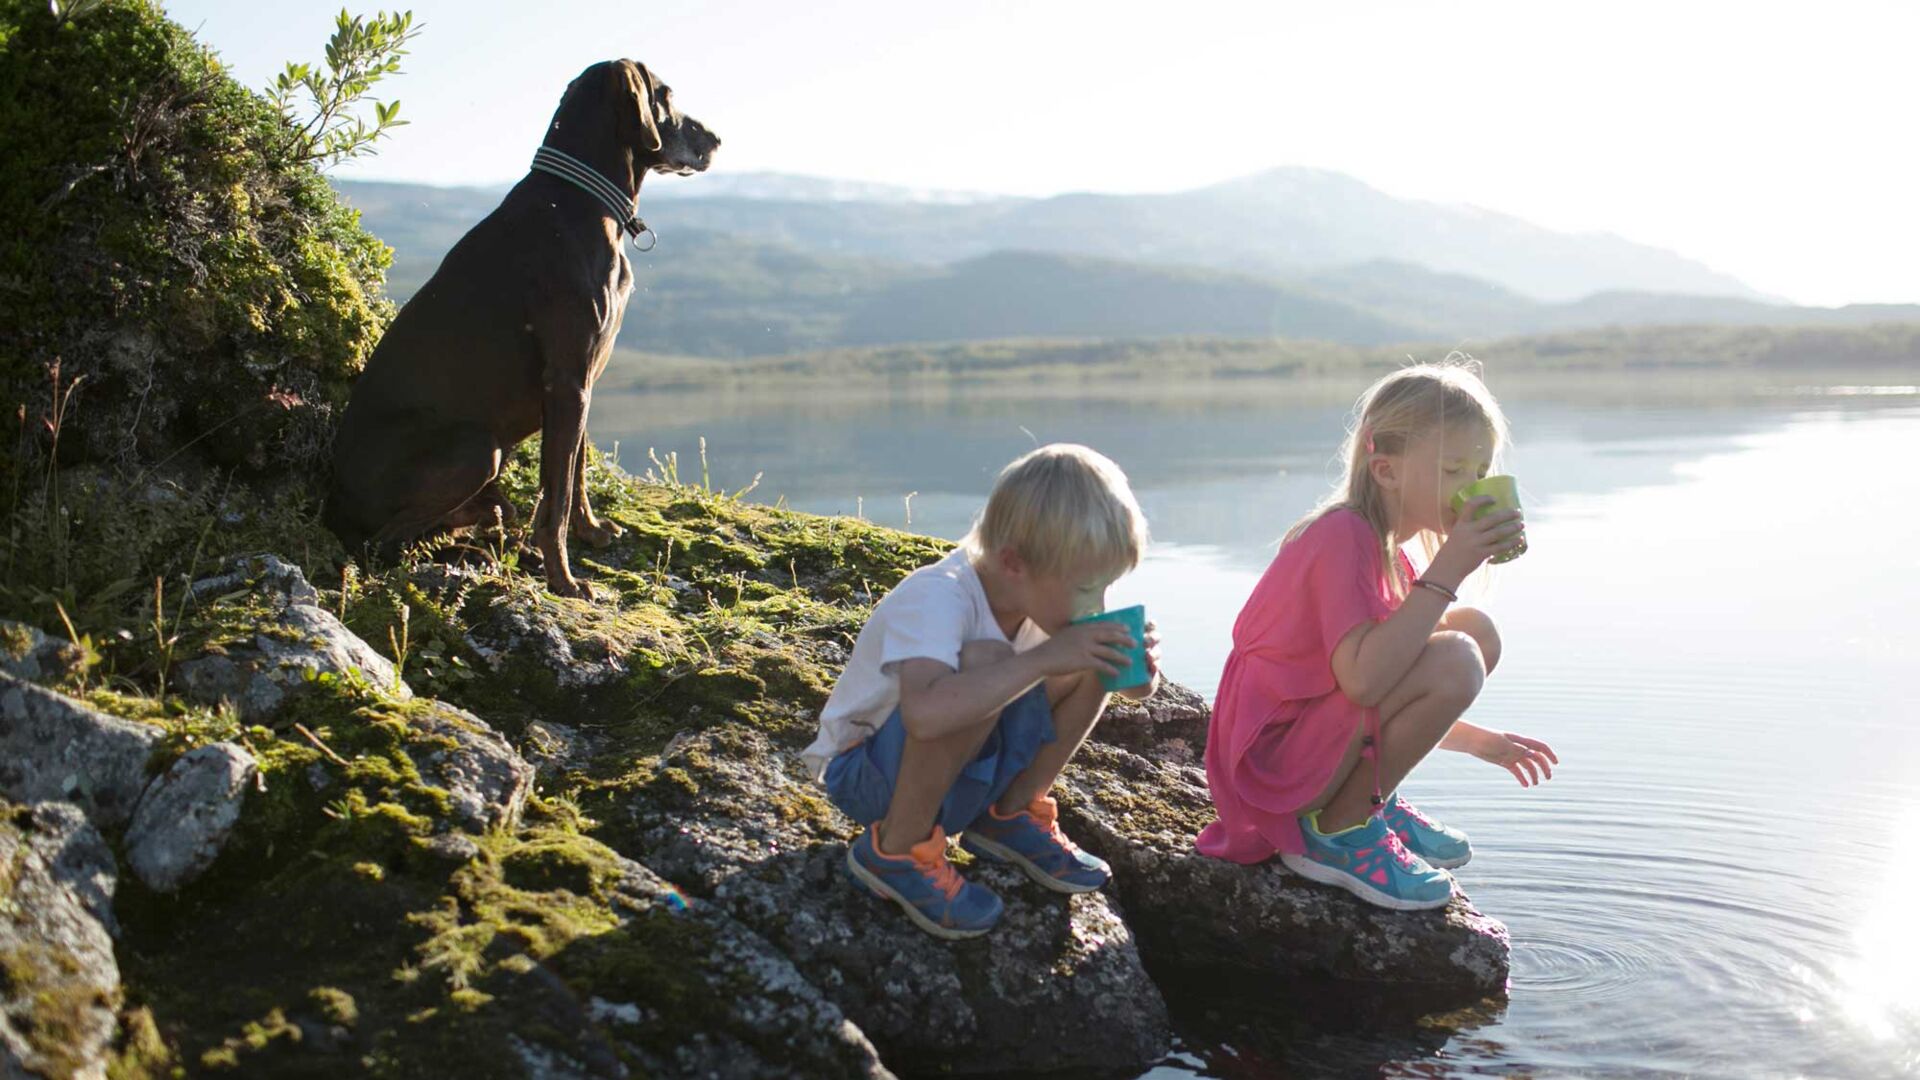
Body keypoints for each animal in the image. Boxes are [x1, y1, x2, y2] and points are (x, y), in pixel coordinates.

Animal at [330, 58, 721, 595]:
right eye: (665, 95)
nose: (717, 139)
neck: (581, 199)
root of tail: (331, 500)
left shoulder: (582, 380)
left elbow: (575, 471)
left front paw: (591, 532)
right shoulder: (568, 378)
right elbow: (556, 496)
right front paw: (565, 578)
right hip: (478, 447)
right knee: (383, 544)